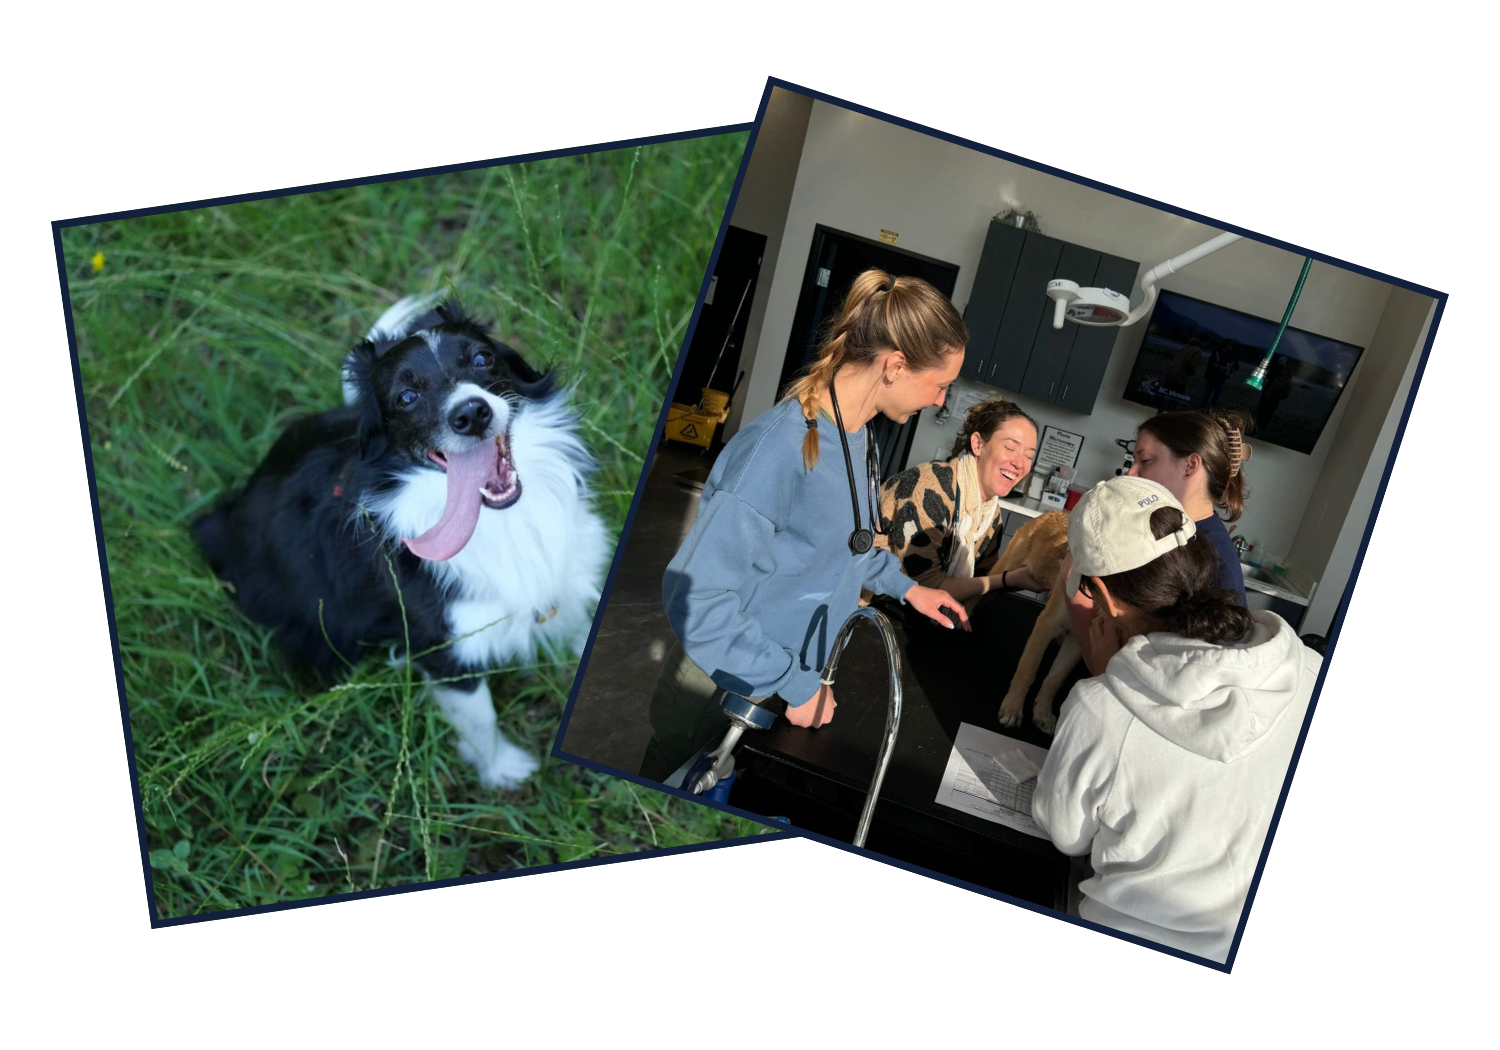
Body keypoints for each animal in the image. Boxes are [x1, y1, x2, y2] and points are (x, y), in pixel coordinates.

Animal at [196, 295, 612, 786]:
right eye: (407, 398)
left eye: (481, 359)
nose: (471, 414)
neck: (500, 521)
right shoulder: (443, 648)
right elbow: (480, 718)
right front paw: (501, 771)